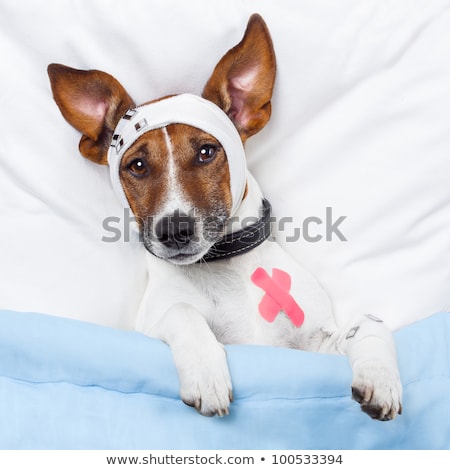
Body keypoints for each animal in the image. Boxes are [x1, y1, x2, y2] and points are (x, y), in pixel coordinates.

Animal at [47, 13, 402, 418]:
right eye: (137, 165)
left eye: (206, 152)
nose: (175, 230)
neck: (224, 269)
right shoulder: (149, 327)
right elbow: (182, 311)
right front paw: (206, 374)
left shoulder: (316, 347)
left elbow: (369, 323)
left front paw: (380, 377)